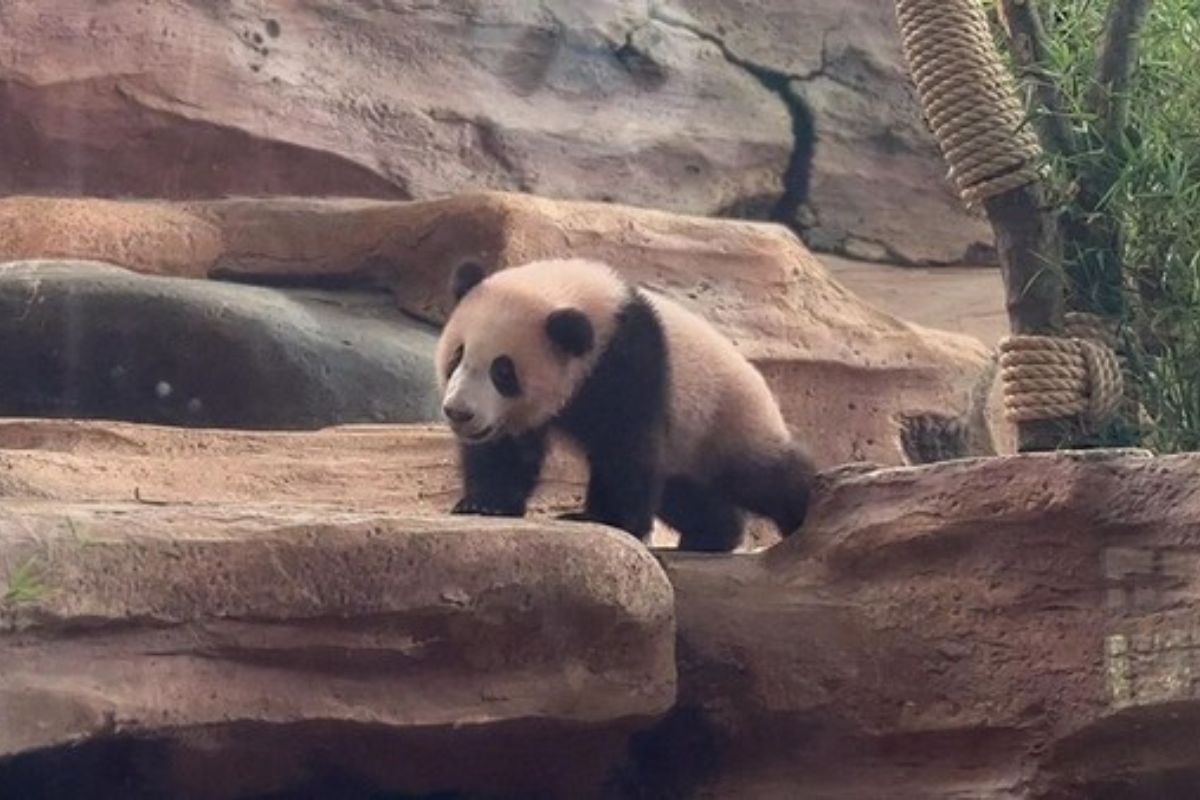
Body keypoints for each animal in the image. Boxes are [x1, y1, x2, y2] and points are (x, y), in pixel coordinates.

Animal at [435, 257, 816, 552]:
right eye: (457, 355)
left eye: (502, 371)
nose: (459, 412)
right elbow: (506, 451)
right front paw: (484, 503)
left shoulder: (628, 360)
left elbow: (624, 445)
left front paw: (603, 518)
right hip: (688, 449)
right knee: (685, 493)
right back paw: (713, 534)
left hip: (726, 419)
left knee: (765, 476)